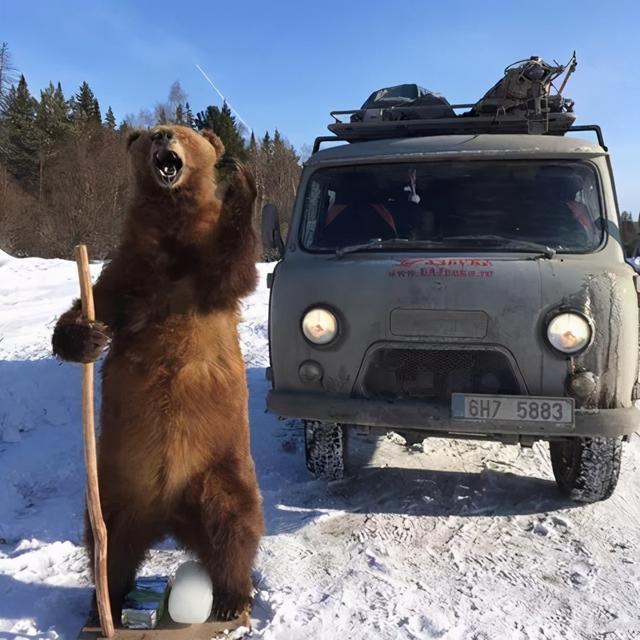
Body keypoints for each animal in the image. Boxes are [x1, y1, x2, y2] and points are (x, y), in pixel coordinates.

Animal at [50, 124, 264, 620]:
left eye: (186, 132)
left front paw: (241, 184)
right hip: (119, 486)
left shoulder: (201, 277)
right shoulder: (129, 274)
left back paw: (232, 598)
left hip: (221, 466)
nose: (165, 134)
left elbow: (234, 268)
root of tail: (168, 512)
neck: (170, 229)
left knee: (233, 526)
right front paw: (86, 337)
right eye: (149, 134)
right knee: (110, 543)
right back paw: (105, 601)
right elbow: (93, 304)